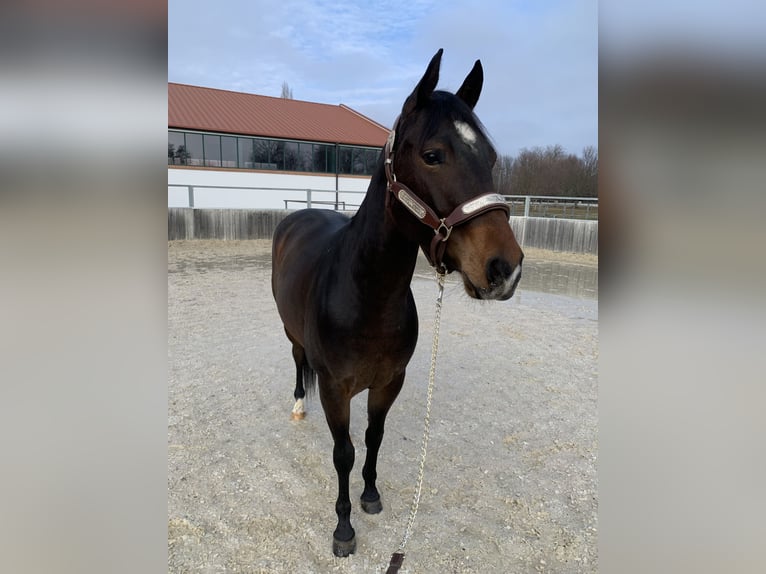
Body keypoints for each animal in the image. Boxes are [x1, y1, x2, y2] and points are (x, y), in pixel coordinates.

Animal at [271, 49, 523, 557]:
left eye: (489, 157)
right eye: (433, 155)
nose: (505, 269)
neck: (368, 297)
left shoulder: (390, 383)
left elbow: (374, 437)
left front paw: (370, 495)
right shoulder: (335, 389)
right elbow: (344, 452)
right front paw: (343, 528)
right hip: (292, 336)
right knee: (297, 360)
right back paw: (298, 406)